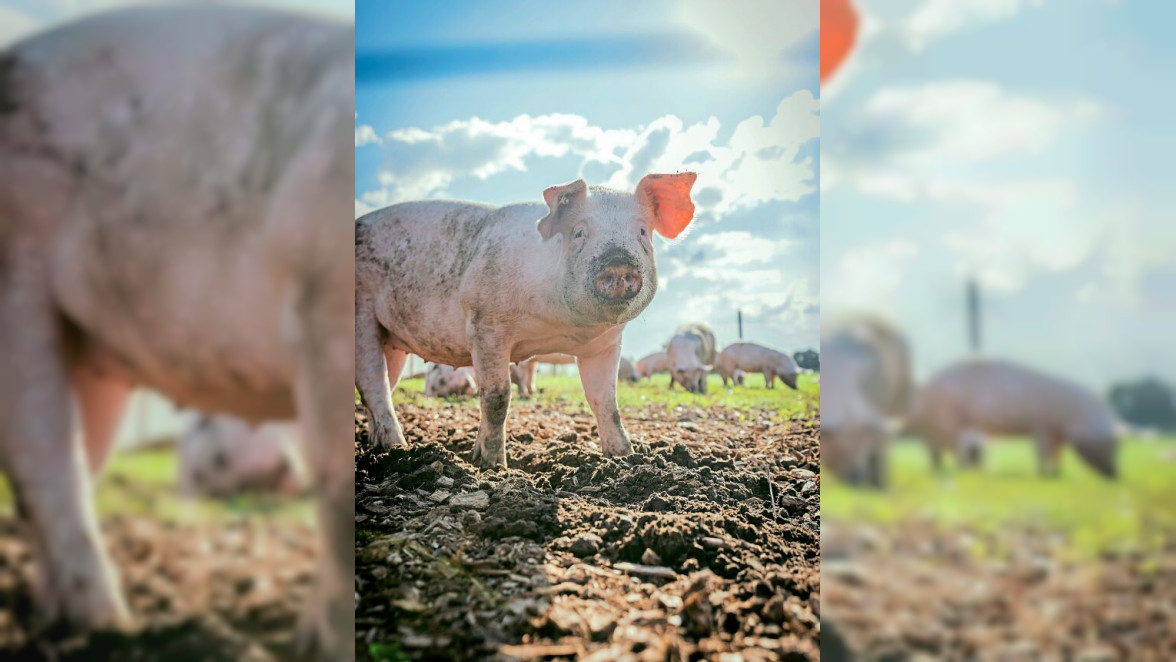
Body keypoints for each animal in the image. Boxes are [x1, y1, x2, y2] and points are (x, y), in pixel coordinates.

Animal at [352, 174, 691, 467]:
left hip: (391, 340)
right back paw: (397, 449)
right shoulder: (485, 324)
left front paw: (626, 457)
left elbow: (606, 401)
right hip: (361, 313)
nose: (618, 263)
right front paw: (492, 465)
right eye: (580, 232)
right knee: (373, 385)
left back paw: (378, 446)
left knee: (383, 385)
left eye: (642, 232)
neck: (559, 328)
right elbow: (496, 396)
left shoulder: (605, 345)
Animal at [907, 359, 1119, 479]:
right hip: (946, 424)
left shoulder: (1056, 432)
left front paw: (1057, 474)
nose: (1116, 475)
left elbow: (1056, 453)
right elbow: (1043, 451)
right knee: (942, 451)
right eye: (1113, 442)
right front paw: (1044, 476)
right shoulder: (1042, 425)